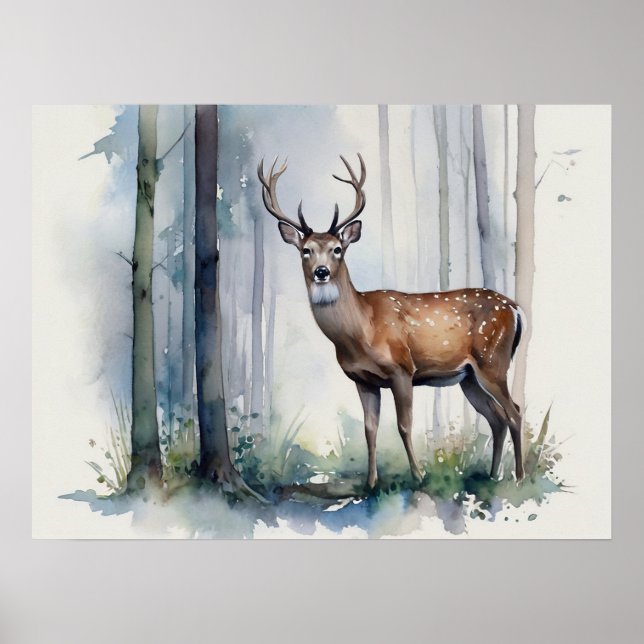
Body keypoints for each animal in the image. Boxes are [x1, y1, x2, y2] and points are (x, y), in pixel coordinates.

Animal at [258, 154, 525, 489]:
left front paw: (418, 476)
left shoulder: (402, 369)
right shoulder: (362, 380)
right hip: (468, 377)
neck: (362, 331)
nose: (321, 272)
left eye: (337, 249)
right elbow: (369, 430)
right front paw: (371, 483)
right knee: (496, 418)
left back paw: (519, 477)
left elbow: (403, 425)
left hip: (493, 361)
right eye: (306, 251)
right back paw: (491, 476)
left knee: (515, 412)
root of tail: (515, 309)